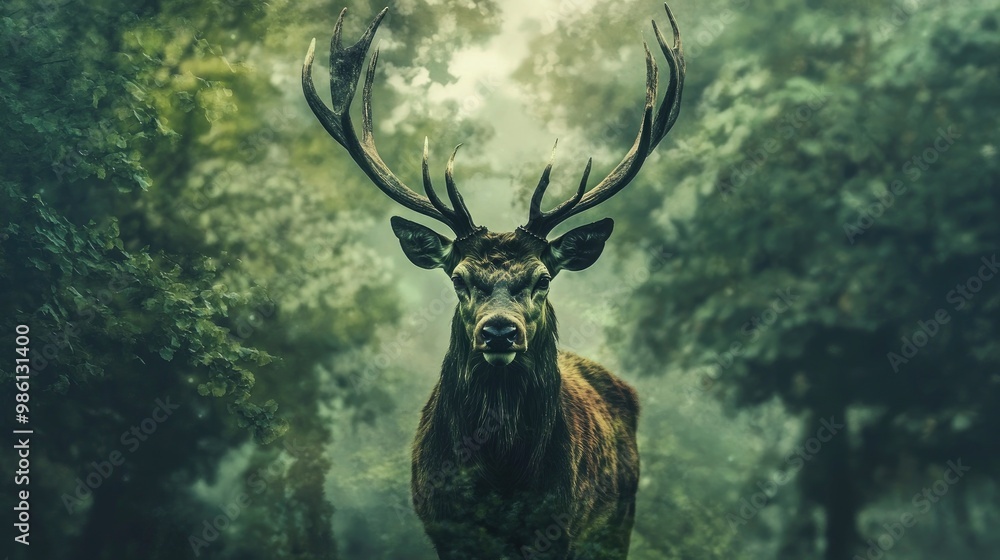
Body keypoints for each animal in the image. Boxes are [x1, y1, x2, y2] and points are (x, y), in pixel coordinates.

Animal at [302, 4, 684, 559]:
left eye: (543, 278)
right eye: (459, 279)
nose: (499, 331)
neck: (501, 482)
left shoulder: (559, 527)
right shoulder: (446, 528)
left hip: (617, 522)